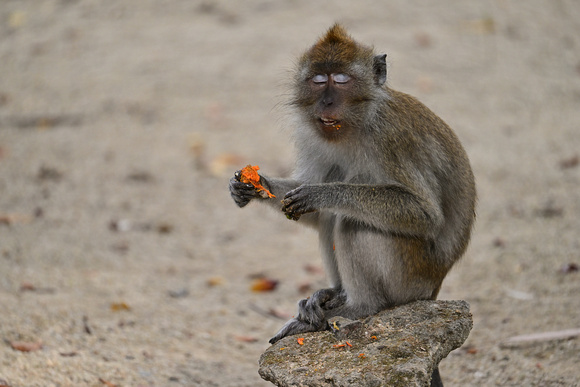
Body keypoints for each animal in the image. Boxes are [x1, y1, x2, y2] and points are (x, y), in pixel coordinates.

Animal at [229, 25, 474, 387]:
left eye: (342, 80)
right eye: (319, 80)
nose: (327, 101)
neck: (357, 124)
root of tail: (434, 289)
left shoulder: (390, 138)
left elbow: (424, 214)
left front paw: (323, 193)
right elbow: (307, 211)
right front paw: (256, 186)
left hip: (412, 278)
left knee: (352, 222)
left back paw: (359, 307)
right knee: (334, 220)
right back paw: (333, 294)